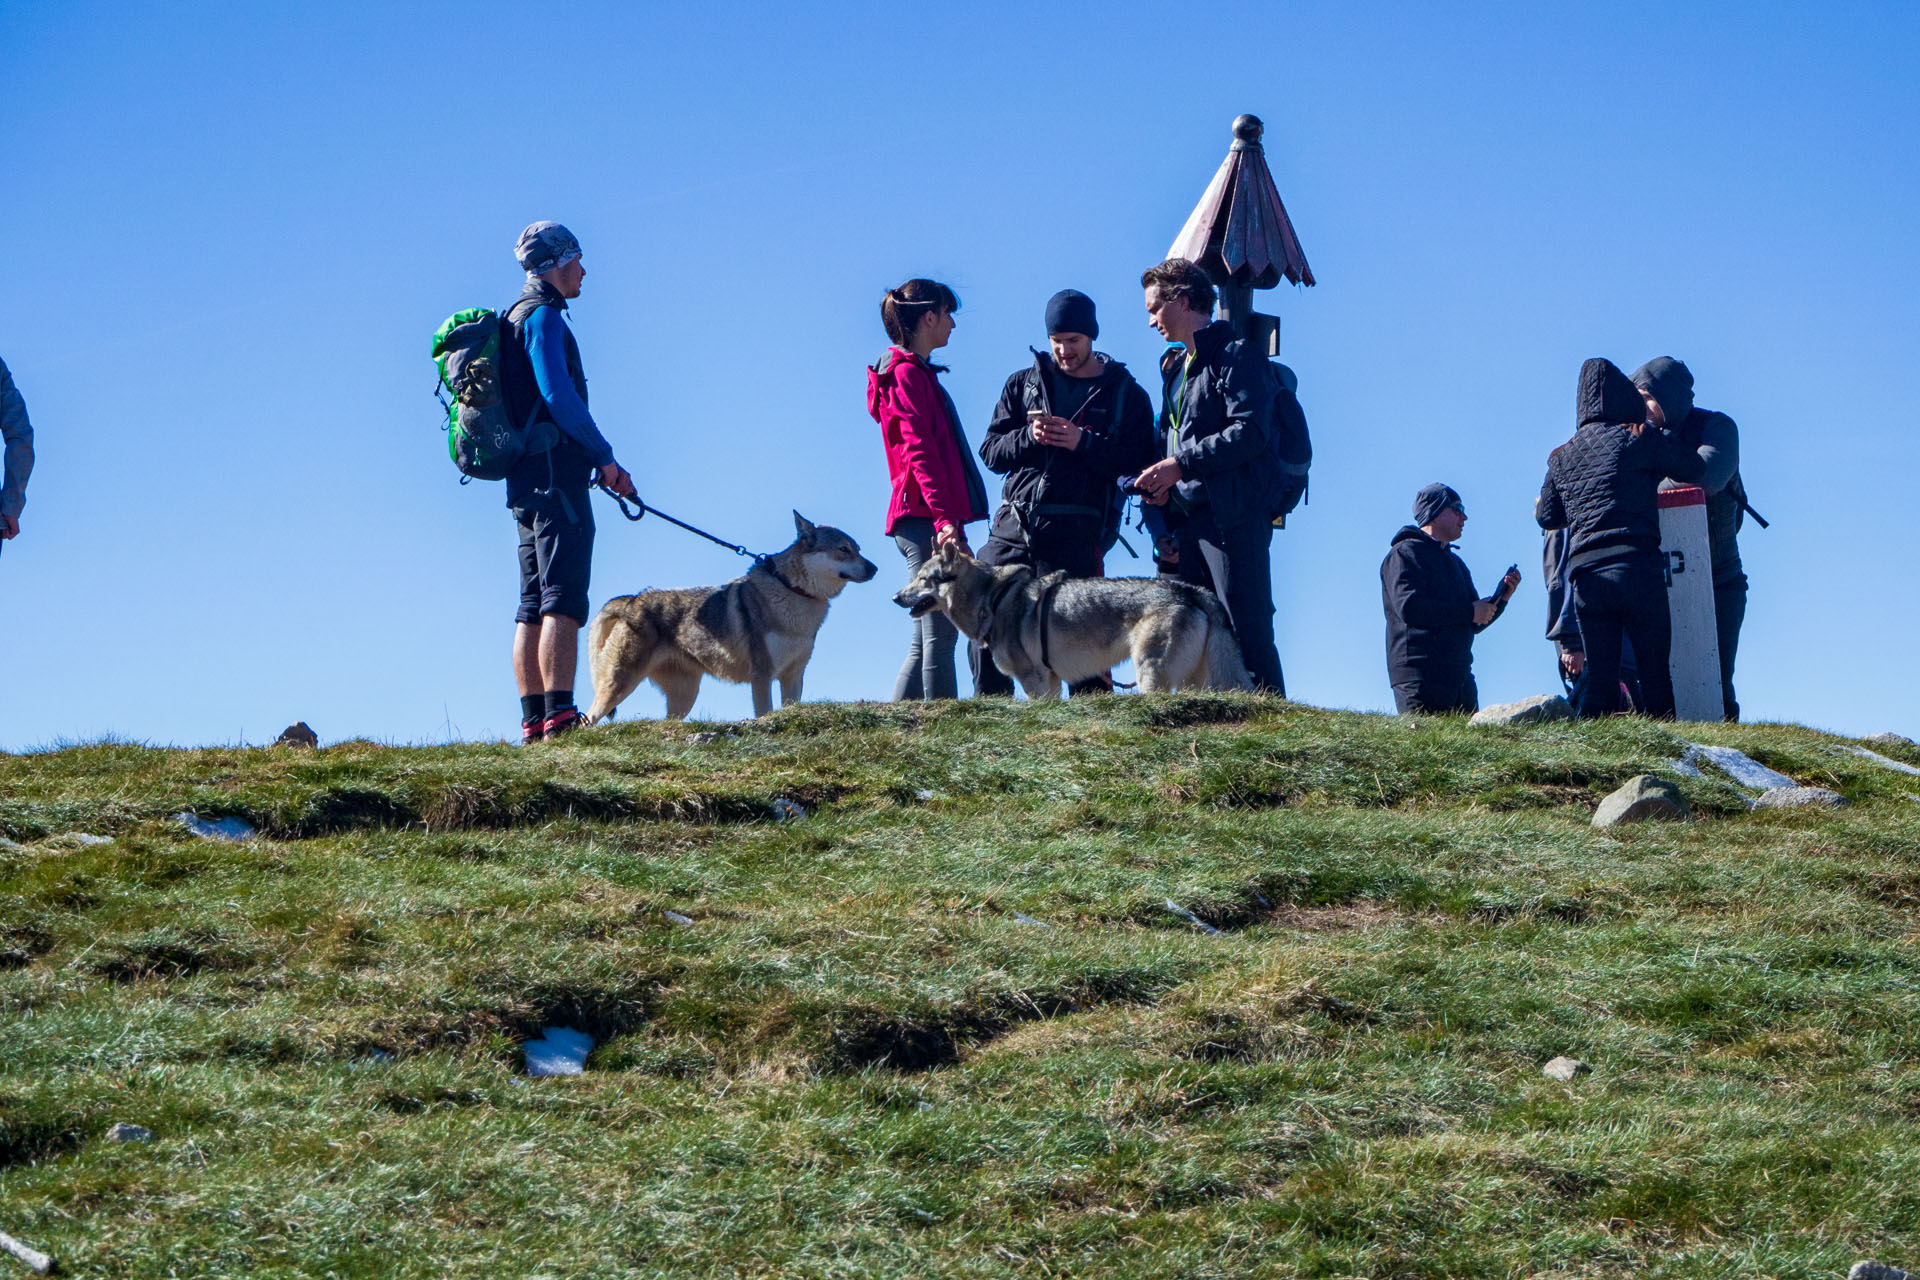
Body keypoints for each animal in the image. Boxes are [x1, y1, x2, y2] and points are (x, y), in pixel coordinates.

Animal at [583, 514, 879, 729]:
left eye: (858, 550)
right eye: (843, 549)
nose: (875, 568)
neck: (793, 591)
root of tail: (631, 599)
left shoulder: (794, 675)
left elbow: (790, 707)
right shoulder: (762, 676)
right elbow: (764, 712)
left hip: (684, 698)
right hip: (618, 688)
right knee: (588, 719)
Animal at [890, 541, 1251, 702]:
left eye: (922, 579)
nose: (894, 597)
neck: (993, 598)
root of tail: (1191, 590)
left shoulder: (1033, 678)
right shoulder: (1049, 680)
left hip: (1150, 672)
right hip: (1197, 682)